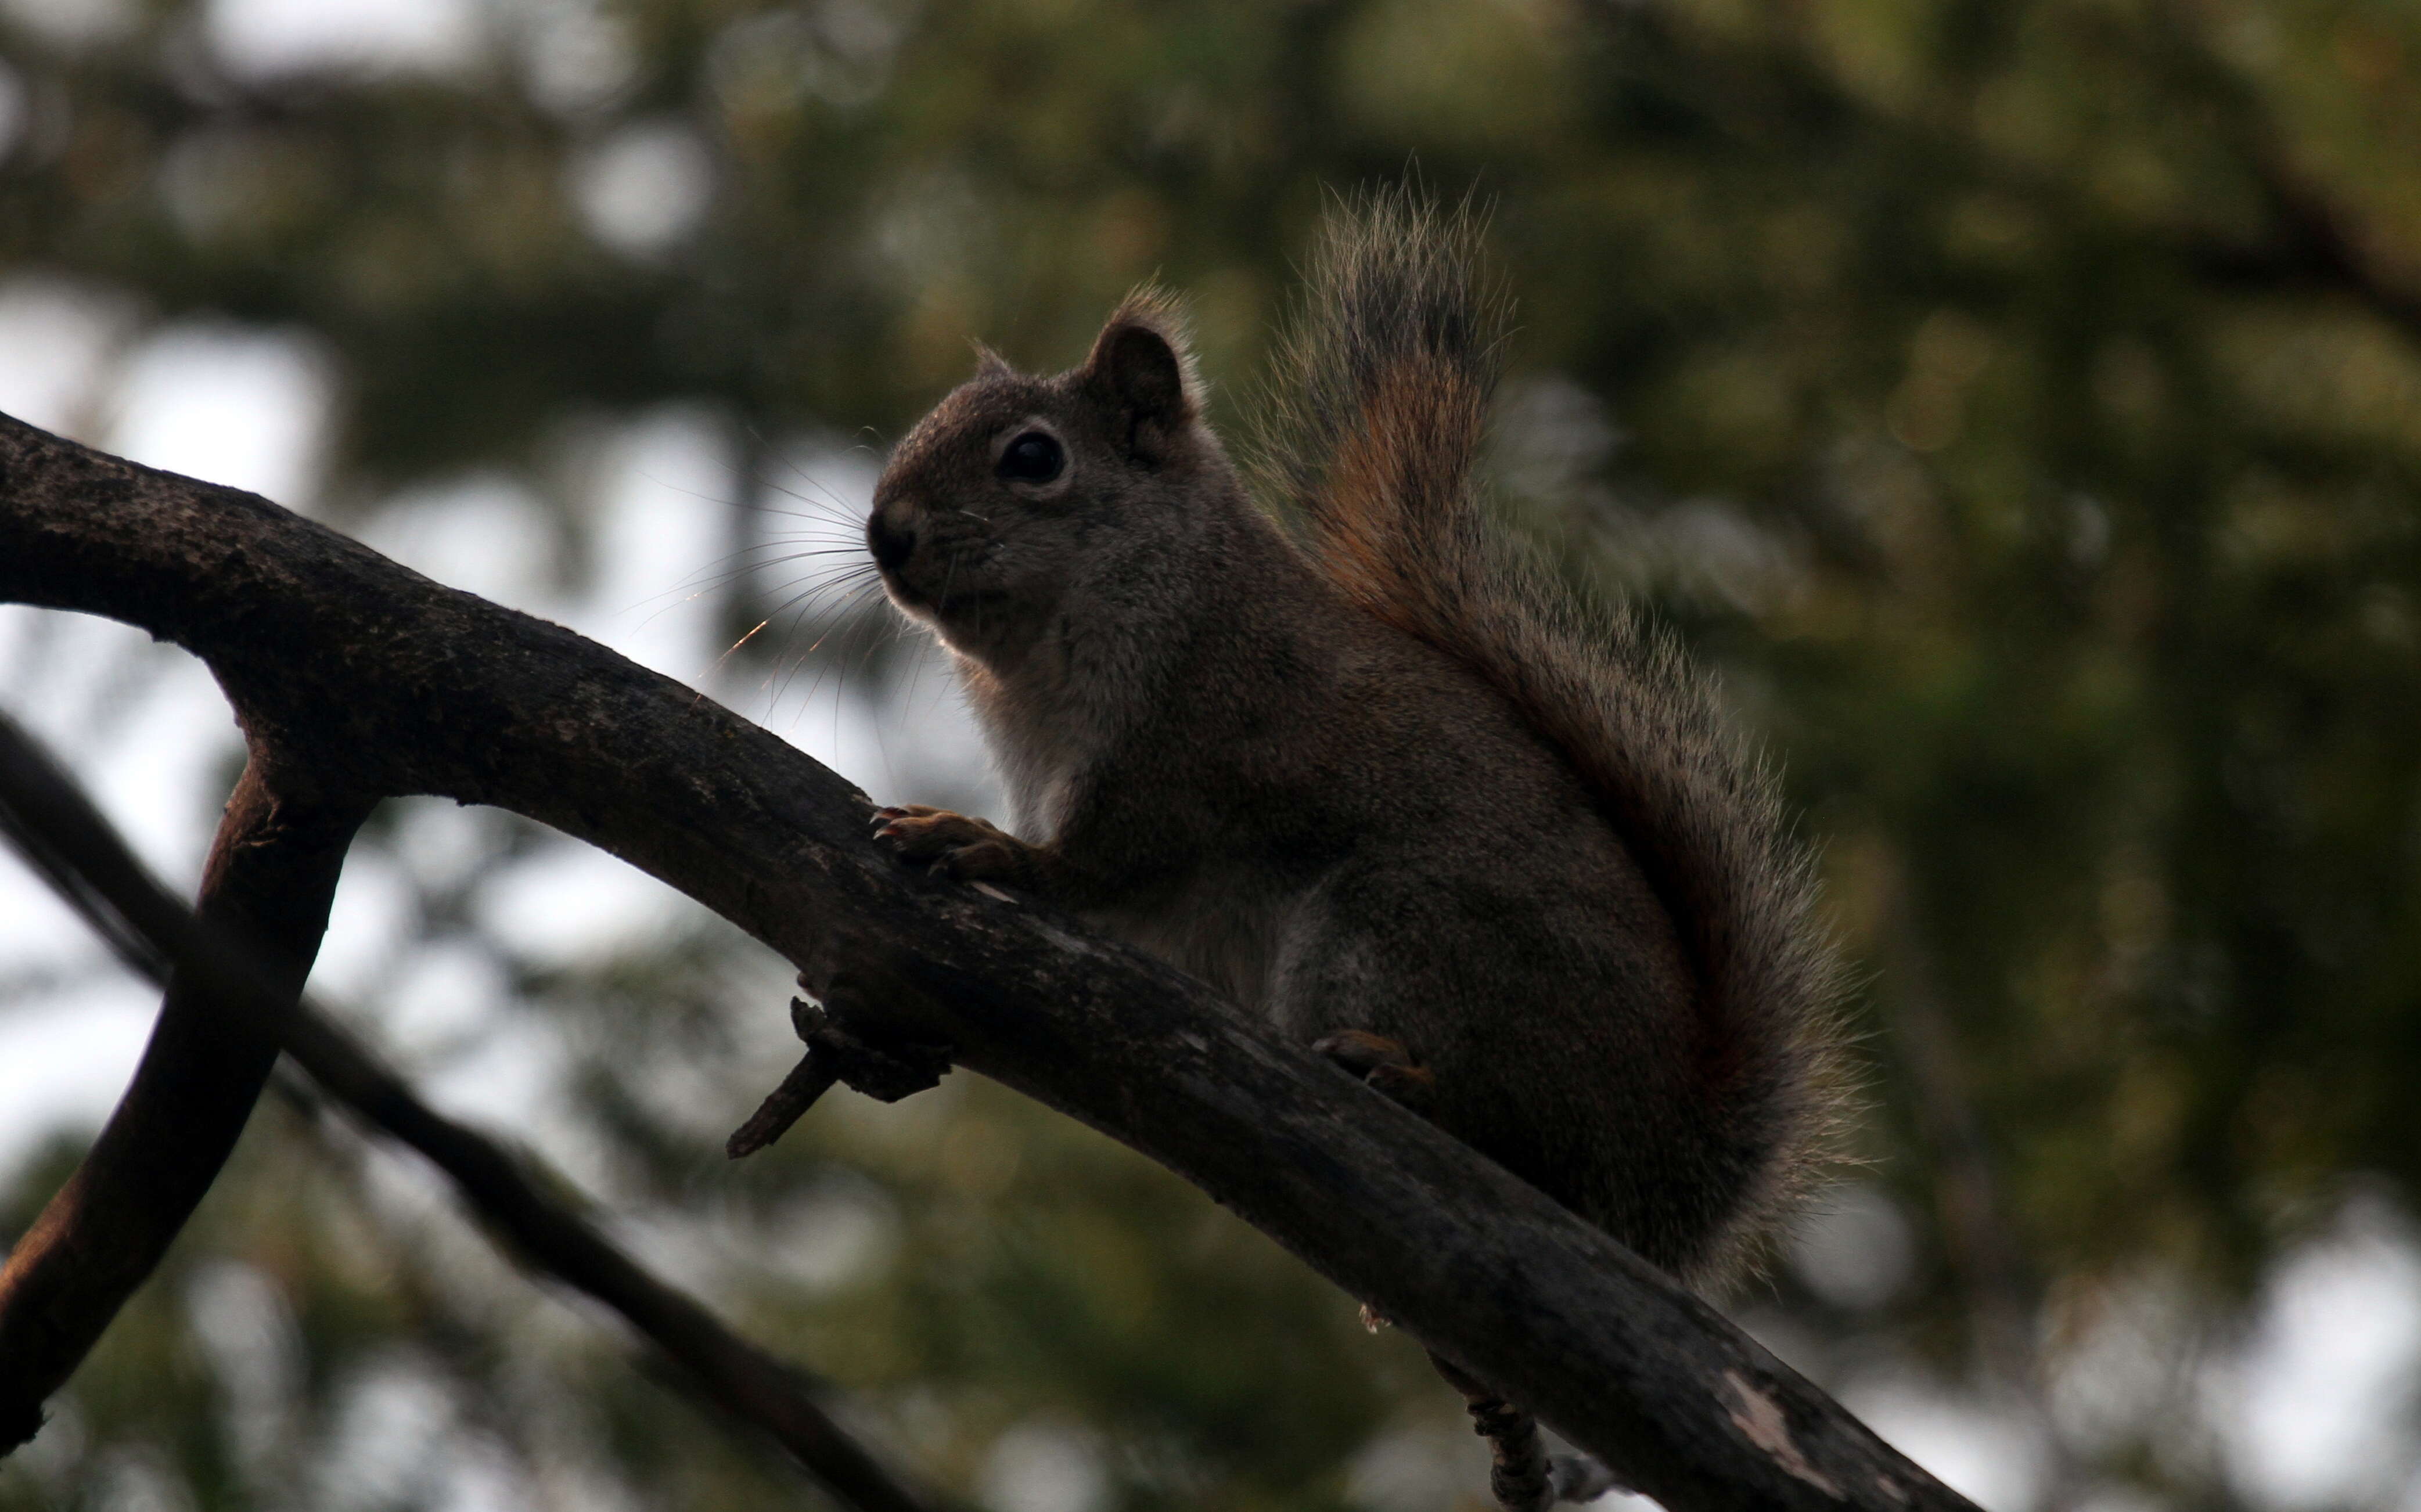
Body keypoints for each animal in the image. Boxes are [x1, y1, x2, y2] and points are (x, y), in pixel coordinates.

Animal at [862, 197, 1840, 1500]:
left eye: (1032, 458)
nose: (885, 534)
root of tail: (1662, 1177)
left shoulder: (1194, 745)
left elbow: (1090, 867)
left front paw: (971, 842)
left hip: (1392, 925)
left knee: (1518, 1135)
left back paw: (1406, 1079)